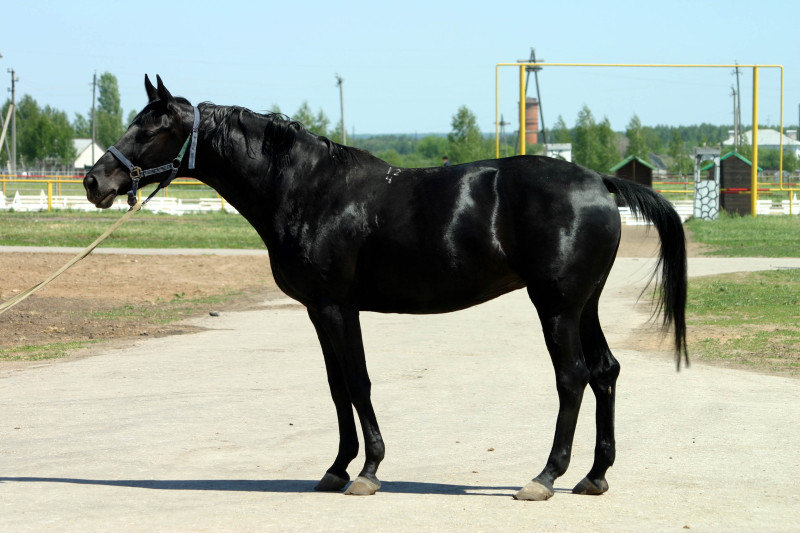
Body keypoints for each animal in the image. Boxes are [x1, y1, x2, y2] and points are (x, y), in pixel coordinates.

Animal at [86, 75, 688, 498]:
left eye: (152, 129)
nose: (95, 181)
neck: (309, 189)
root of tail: (598, 181)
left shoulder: (335, 307)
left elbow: (357, 382)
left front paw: (369, 469)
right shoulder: (321, 310)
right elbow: (337, 386)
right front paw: (336, 468)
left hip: (556, 307)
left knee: (573, 378)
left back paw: (545, 477)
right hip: (584, 305)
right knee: (605, 372)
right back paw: (594, 476)